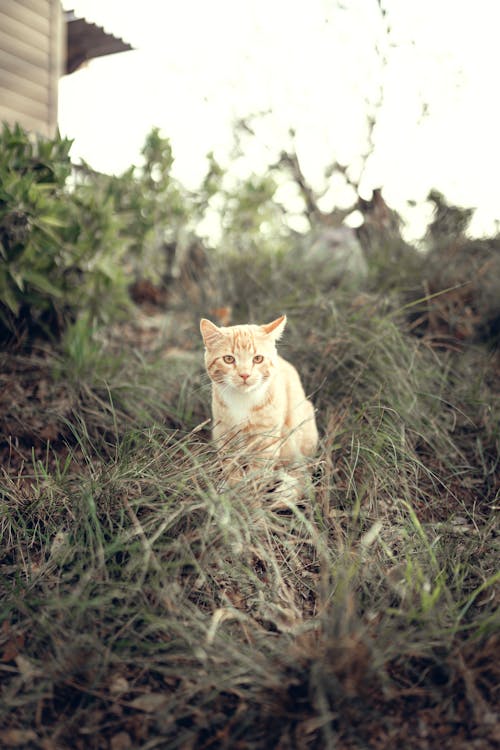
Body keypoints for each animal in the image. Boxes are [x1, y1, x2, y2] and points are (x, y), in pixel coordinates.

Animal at [198, 312, 316, 478]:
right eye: (229, 359)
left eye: (258, 358)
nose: (245, 374)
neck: (243, 400)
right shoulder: (225, 434)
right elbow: (231, 467)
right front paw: (232, 484)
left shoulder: (266, 439)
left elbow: (257, 472)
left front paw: (251, 484)